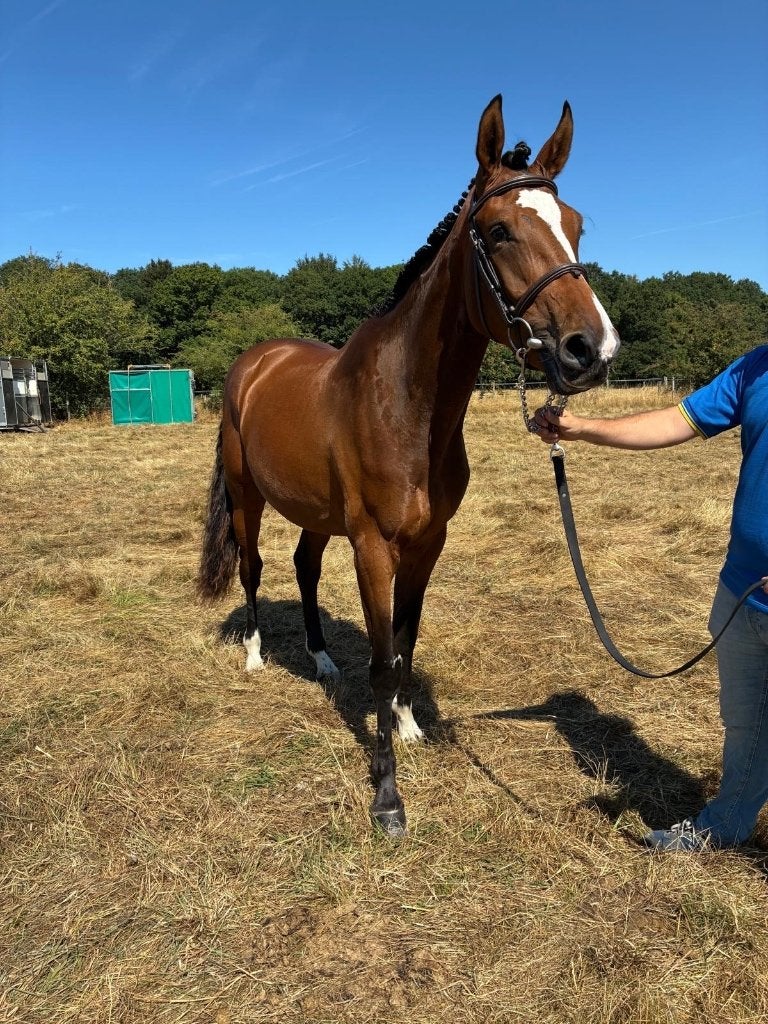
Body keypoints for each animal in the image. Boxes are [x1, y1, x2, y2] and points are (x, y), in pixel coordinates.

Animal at [197, 95, 621, 835]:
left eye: (575, 226)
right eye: (499, 231)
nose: (590, 350)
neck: (406, 405)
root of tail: (254, 361)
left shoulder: (427, 544)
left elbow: (405, 643)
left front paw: (408, 725)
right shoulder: (373, 547)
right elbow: (381, 661)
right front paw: (388, 798)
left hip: (318, 514)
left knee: (303, 568)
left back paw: (320, 659)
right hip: (248, 497)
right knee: (252, 568)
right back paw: (254, 654)